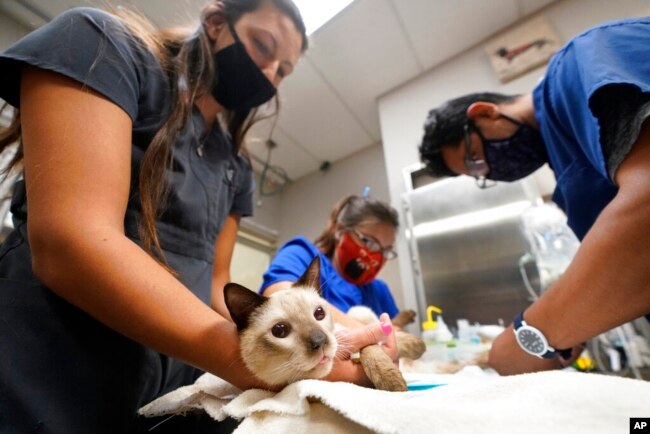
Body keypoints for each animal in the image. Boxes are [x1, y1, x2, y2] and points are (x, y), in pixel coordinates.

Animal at [223, 256, 426, 392]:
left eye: (319, 313)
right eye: (280, 331)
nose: (319, 341)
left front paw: (395, 381)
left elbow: (371, 346)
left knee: (385, 323)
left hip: (359, 310)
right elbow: (373, 345)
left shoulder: (346, 335)